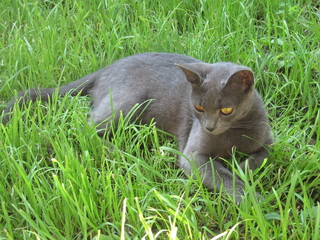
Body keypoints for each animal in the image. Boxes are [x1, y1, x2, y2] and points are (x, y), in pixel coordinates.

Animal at [1, 52, 274, 202]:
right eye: (198, 108)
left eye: (226, 110)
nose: (209, 127)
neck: (234, 134)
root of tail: (107, 68)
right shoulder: (192, 154)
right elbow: (224, 180)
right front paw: (257, 201)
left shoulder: (269, 139)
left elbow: (263, 156)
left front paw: (242, 168)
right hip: (128, 102)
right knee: (84, 128)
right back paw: (122, 153)